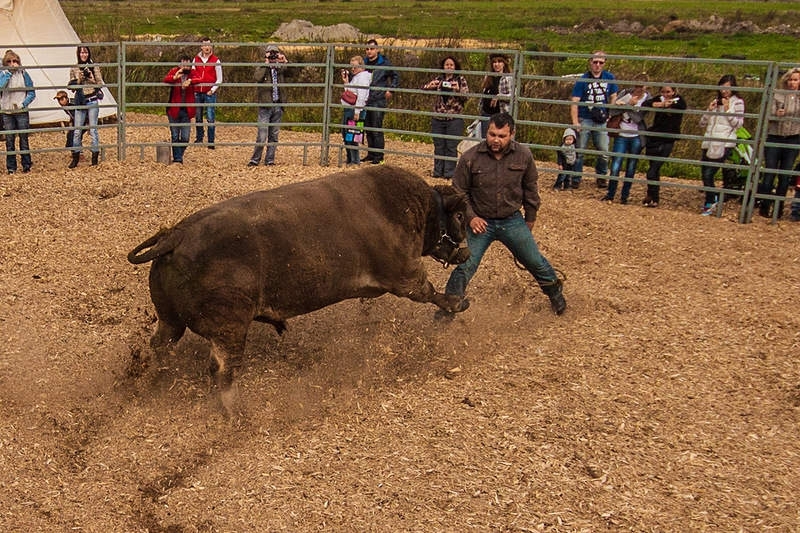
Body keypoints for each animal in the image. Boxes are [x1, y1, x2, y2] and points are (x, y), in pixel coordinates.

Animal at [128, 164, 472, 414]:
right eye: (459, 216)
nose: (466, 254)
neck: (408, 208)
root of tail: (177, 234)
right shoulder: (406, 275)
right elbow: (431, 293)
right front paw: (459, 302)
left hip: (170, 320)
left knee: (159, 347)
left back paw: (146, 380)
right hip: (230, 327)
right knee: (221, 369)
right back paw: (236, 411)